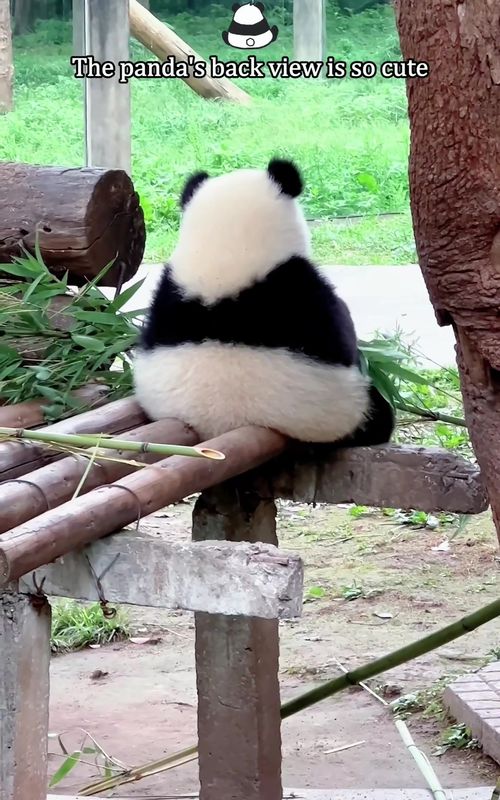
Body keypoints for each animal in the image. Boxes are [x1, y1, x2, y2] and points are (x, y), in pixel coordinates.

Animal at [133, 159, 395, 449]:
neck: (227, 249)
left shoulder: (166, 297)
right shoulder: (304, 296)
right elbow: (342, 338)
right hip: (344, 413)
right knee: (379, 414)